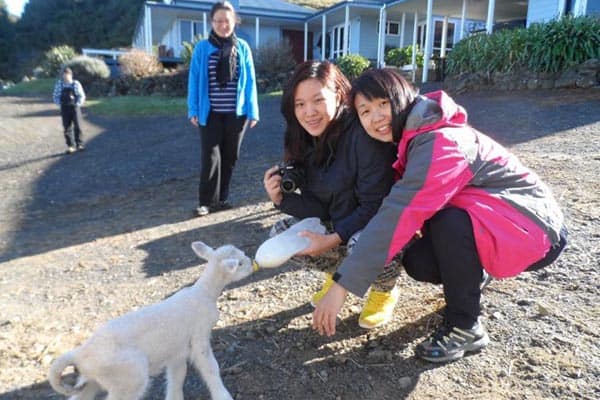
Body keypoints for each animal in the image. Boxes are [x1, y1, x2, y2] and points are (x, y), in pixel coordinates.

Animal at [47, 241, 253, 400]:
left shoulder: (177, 350)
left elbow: (177, 376)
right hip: (130, 376)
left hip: (94, 379)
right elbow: (211, 368)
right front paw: (223, 395)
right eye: (240, 263)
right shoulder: (199, 338)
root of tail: (80, 353)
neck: (204, 292)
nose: (252, 263)